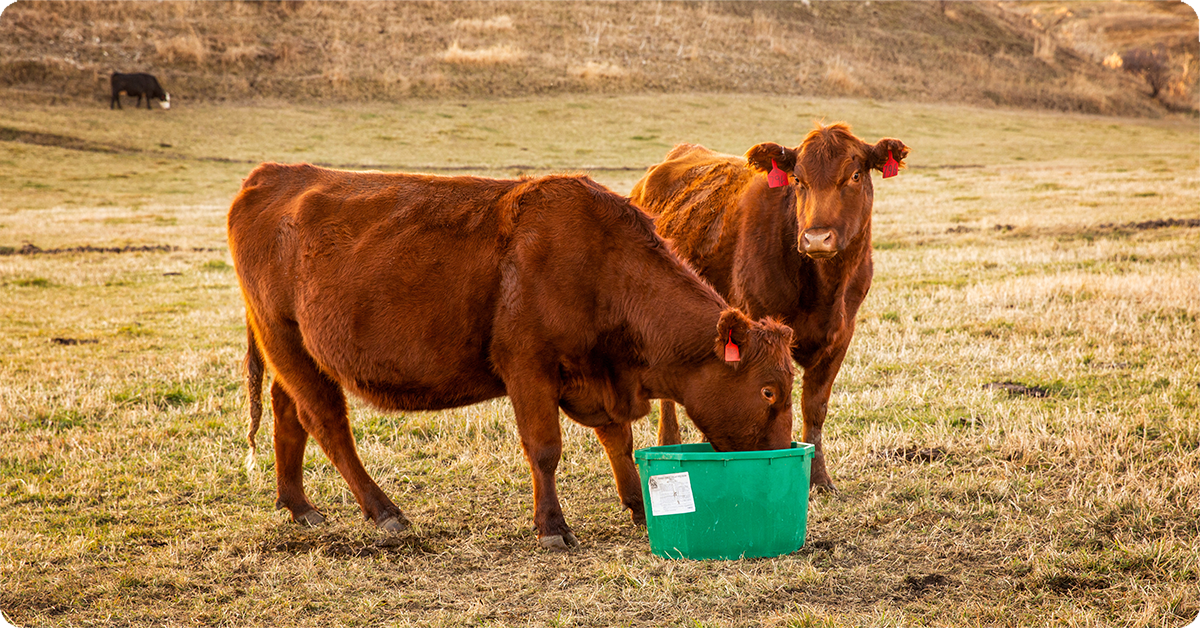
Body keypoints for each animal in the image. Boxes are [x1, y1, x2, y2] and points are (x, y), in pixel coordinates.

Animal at [229, 163, 796, 551]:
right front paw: (552, 527)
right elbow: (544, 449)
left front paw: (638, 506)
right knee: (326, 423)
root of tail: (275, 174)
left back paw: (298, 506)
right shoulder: (528, 368)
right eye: (768, 390)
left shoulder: (597, 376)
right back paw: (384, 511)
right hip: (287, 341)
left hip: (293, 352)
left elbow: (619, 441)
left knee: (288, 414)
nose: (785, 456)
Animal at [630, 122, 908, 491]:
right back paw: (667, 443)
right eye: (798, 179)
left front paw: (819, 479)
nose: (816, 238)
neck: (825, 288)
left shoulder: (841, 335)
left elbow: (815, 408)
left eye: (855, 175)